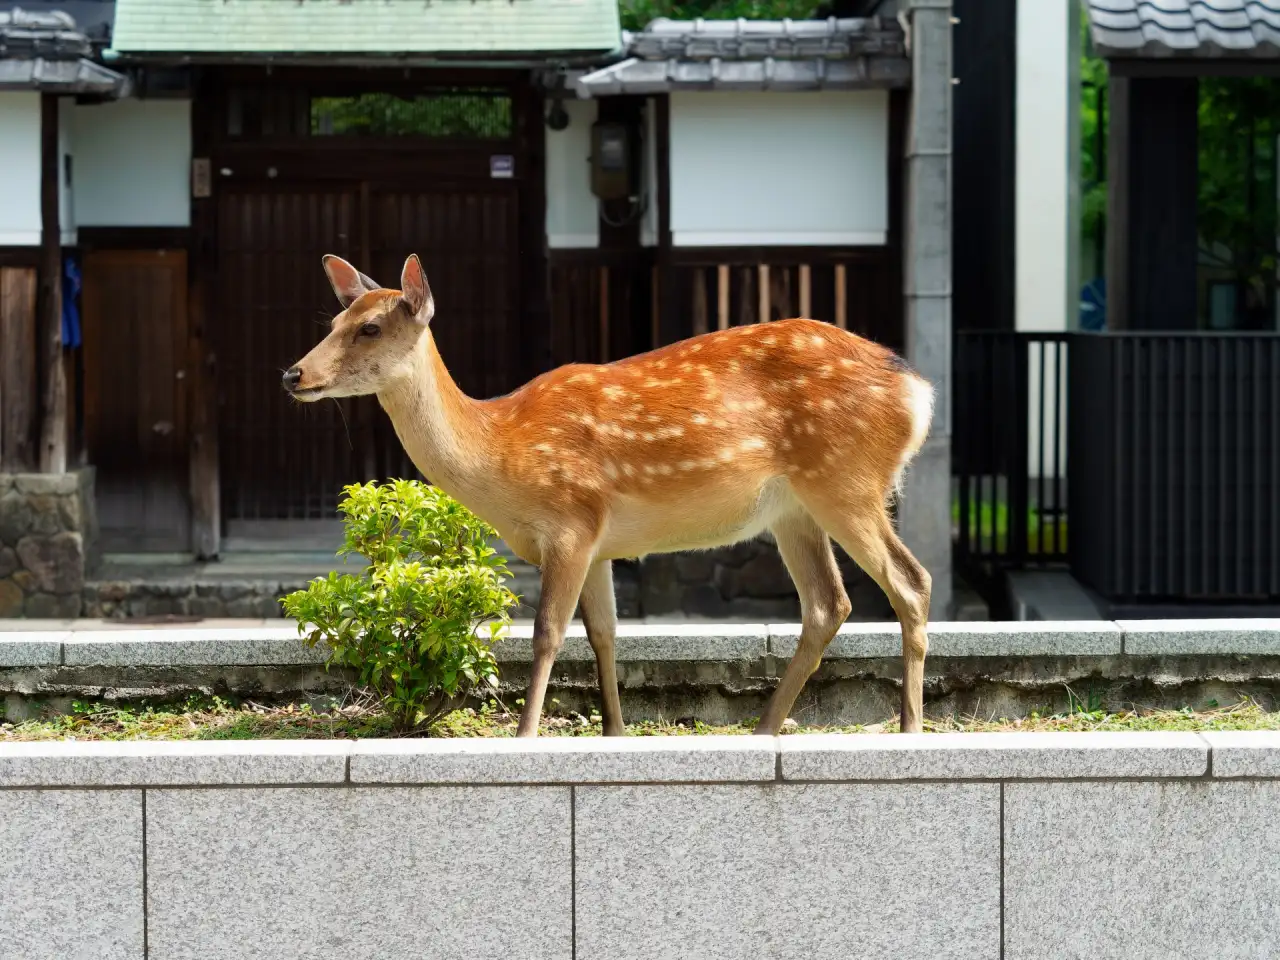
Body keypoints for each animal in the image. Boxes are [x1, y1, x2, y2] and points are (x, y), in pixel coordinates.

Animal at [285, 253, 936, 737]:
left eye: (369, 328)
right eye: (332, 324)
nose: (293, 374)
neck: (503, 454)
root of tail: (919, 391)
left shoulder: (570, 520)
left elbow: (547, 632)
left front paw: (525, 735)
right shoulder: (597, 543)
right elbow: (603, 634)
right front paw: (615, 732)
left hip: (846, 481)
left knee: (911, 581)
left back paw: (908, 728)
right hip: (794, 508)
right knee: (828, 603)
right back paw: (764, 729)